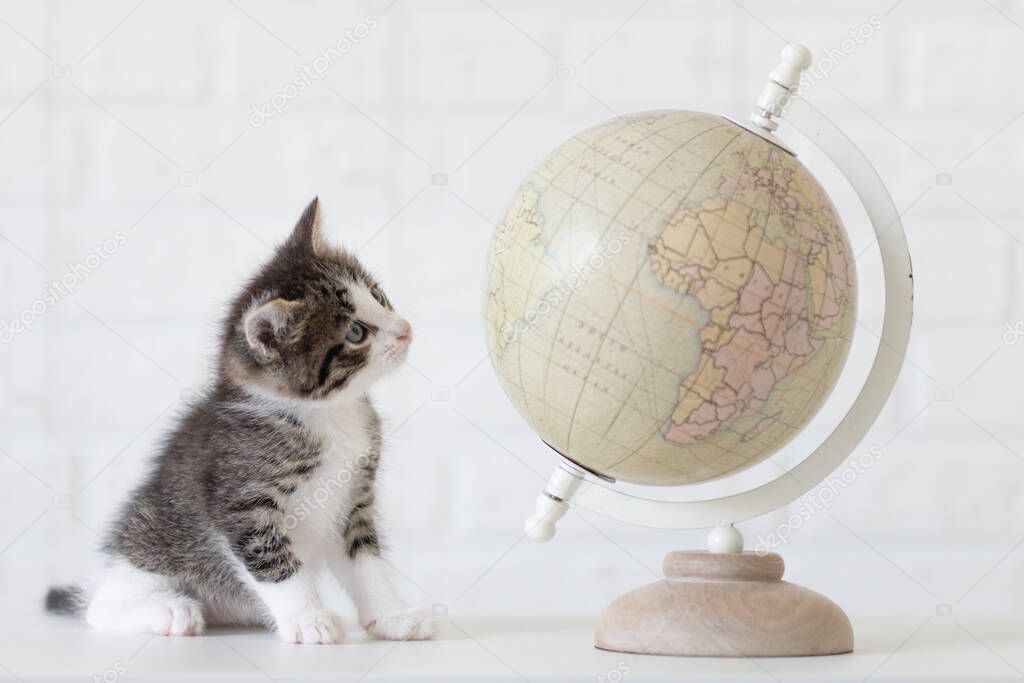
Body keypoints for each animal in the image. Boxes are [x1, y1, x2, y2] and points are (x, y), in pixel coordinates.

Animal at [45, 198, 432, 647]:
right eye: (356, 332)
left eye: (377, 294)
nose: (405, 330)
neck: (329, 413)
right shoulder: (243, 499)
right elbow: (274, 560)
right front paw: (308, 619)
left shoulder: (353, 496)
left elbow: (368, 560)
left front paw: (393, 615)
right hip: (151, 541)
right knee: (99, 606)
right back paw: (169, 610)